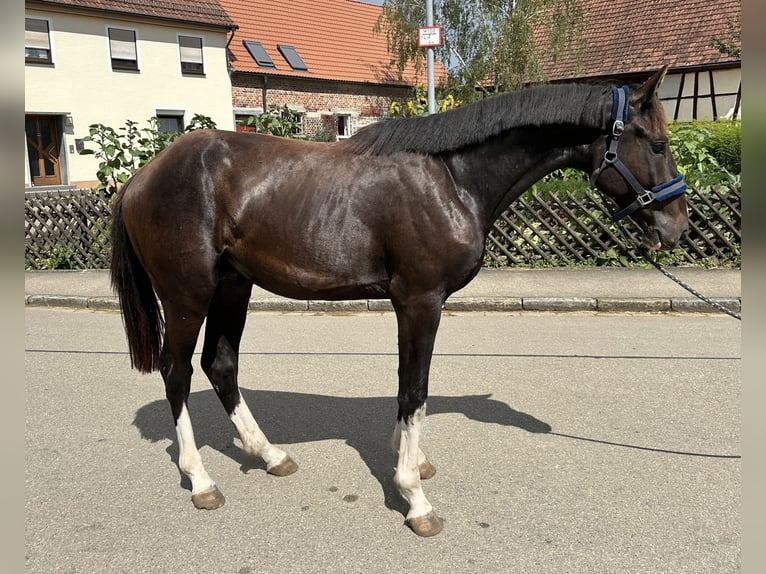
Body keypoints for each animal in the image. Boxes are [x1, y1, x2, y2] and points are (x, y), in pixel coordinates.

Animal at [109, 68, 688, 540]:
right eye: (658, 144)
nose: (676, 228)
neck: (451, 179)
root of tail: (140, 177)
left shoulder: (412, 305)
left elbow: (408, 389)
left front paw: (409, 459)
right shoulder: (419, 301)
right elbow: (415, 389)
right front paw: (415, 497)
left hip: (234, 286)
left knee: (220, 364)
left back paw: (270, 455)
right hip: (188, 295)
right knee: (177, 372)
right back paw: (201, 480)